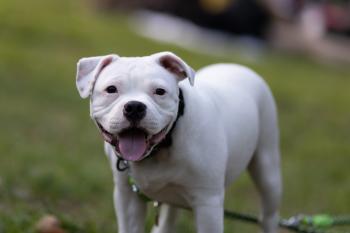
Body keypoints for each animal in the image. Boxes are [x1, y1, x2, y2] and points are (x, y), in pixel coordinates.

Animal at [74, 52, 282, 233]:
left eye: (160, 92)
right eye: (111, 89)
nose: (134, 107)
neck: (162, 147)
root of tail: (239, 66)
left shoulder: (208, 204)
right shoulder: (127, 197)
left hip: (268, 169)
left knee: (269, 216)